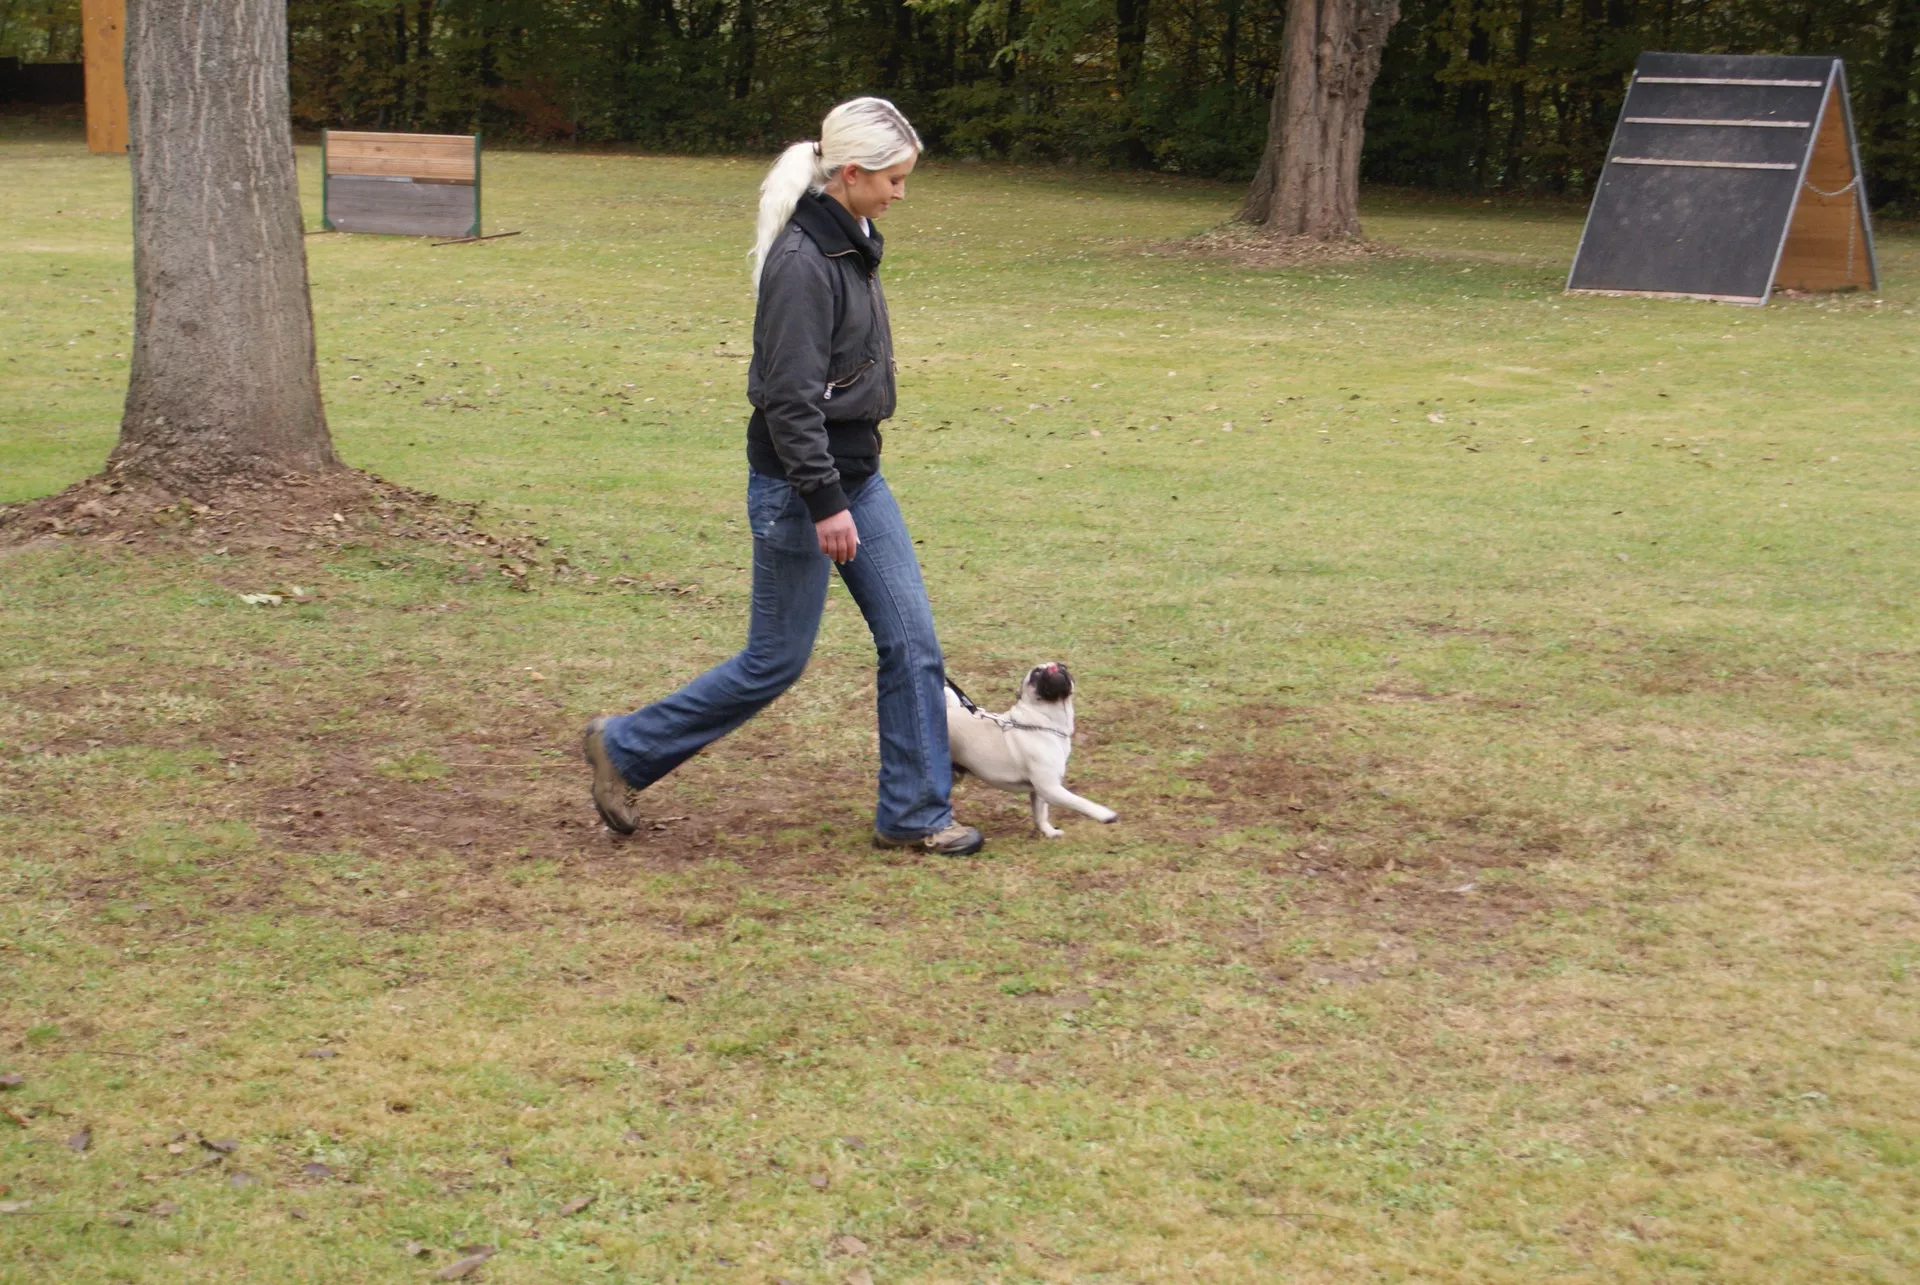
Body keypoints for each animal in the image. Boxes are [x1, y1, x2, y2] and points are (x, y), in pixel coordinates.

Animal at [945, 663, 1119, 838]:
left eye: (1063, 666)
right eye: (1036, 673)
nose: (1053, 668)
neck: (1046, 722)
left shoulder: (1040, 791)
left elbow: (1040, 813)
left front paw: (1049, 832)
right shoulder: (1049, 788)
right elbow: (1079, 801)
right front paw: (1104, 814)